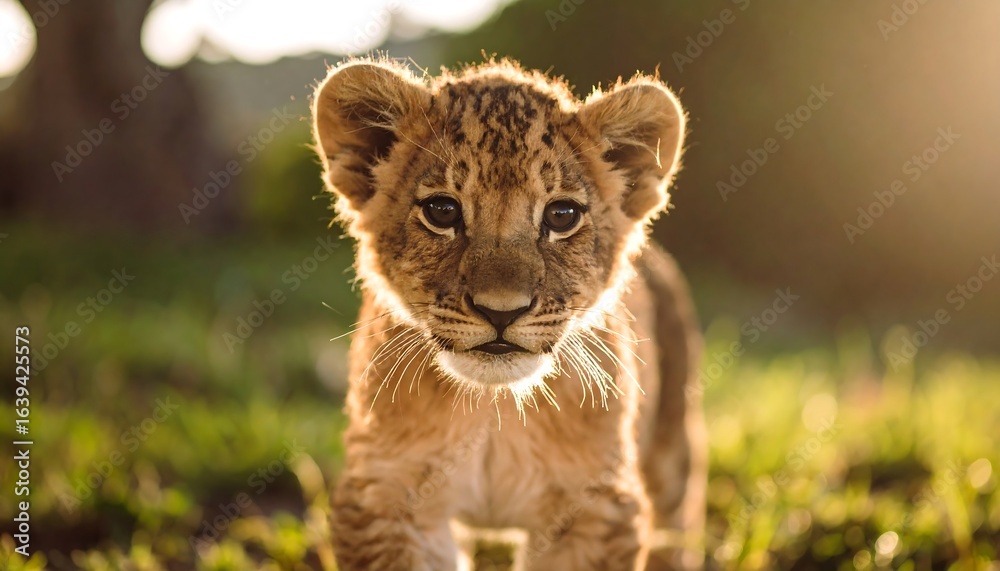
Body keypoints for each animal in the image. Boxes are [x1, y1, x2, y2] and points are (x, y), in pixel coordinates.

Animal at [311, 57, 706, 571]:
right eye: (442, 211)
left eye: (561, 215)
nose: (501, 312)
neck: (491, 407)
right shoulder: (384, 495)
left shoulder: (596, 506)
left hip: (672, 441)